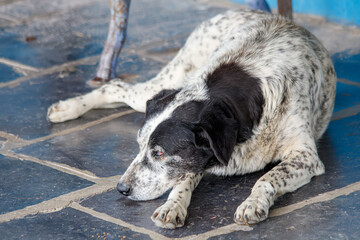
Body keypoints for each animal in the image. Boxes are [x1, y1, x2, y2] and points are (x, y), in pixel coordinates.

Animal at [46, 9, 336, 229]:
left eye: (159, 153)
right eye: (139, 146)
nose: (121, 188)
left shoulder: (305, 156)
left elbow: (267, 178)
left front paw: (253, 202)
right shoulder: (200, 158)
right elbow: (183, 180)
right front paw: (172, 206)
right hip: (167, 80)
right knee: (114, 86)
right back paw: (68, 107)